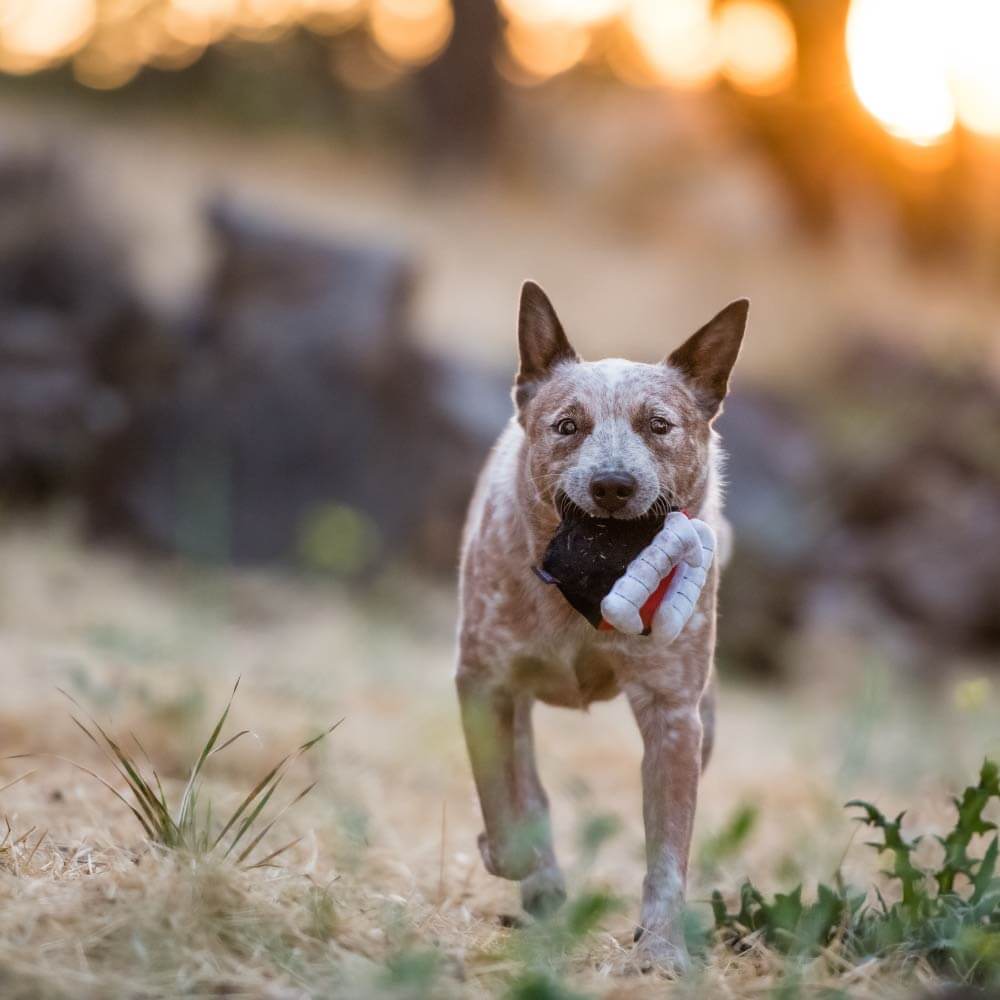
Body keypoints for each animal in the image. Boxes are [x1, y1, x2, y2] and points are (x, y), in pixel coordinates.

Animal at [458, 284, 748, 976]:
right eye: (568, 425)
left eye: (658, 425)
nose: (613, 484)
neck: (580, 597)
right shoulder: (481, 680)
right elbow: (502, 797)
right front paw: (512, 857)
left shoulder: (674, 716)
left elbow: (668, 856)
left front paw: (662, 952)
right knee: (525, 783)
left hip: (707, 720)